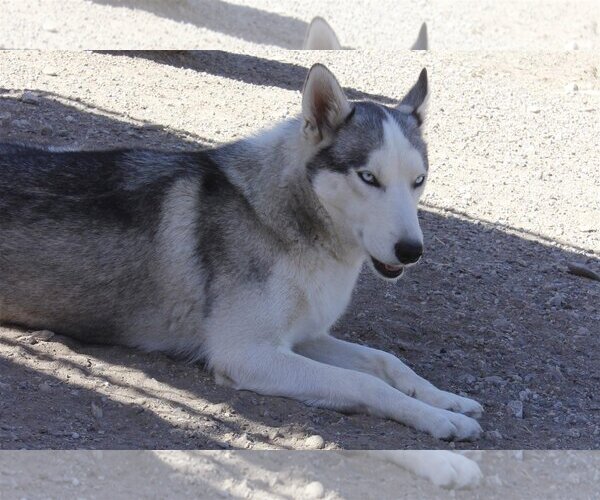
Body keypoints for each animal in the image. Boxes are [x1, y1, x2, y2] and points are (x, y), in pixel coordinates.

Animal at [0, 63, 482, 442]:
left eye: (418, 181)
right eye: (368, 177)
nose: (412, 250)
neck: (286, 219)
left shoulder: (304, 337)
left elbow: (388, 363)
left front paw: (446, 399)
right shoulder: (248, 353)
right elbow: (366, 384)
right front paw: (437, 419)